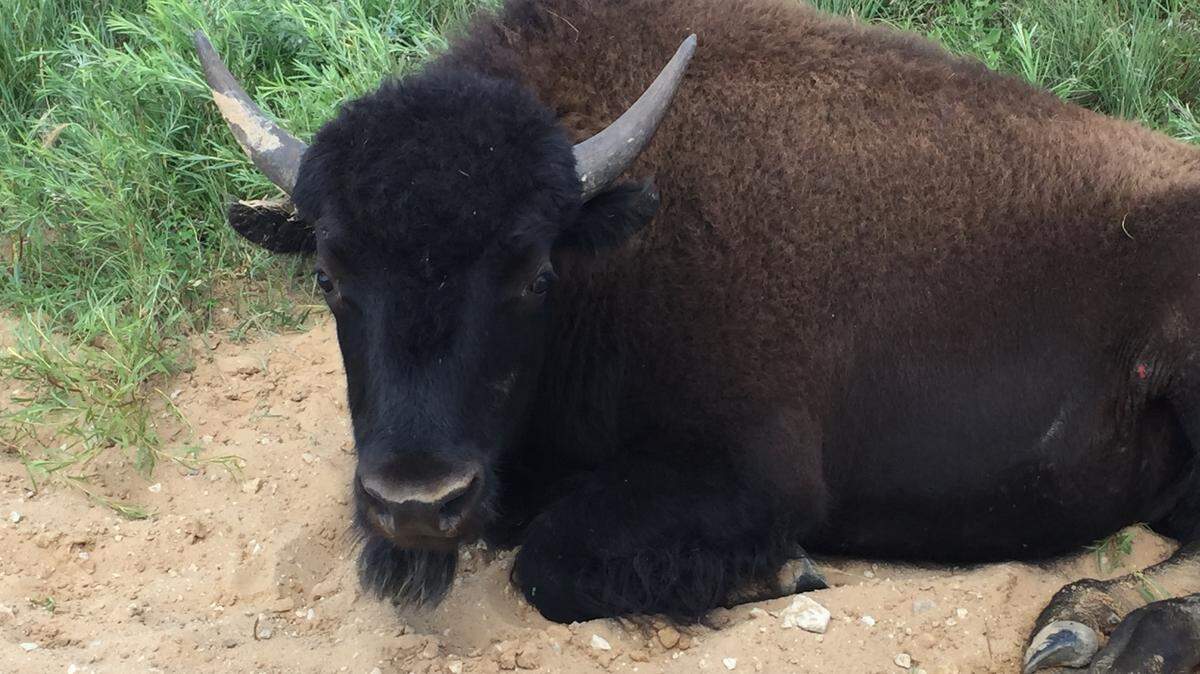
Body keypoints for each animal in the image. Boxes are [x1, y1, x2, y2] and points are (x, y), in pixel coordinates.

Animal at [195, 0, 1200, 671]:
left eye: (535, 274)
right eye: (329, 276)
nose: (416, 501)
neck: (613, 235)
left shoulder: (751, 475)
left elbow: (546, 565)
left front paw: (790, 574)